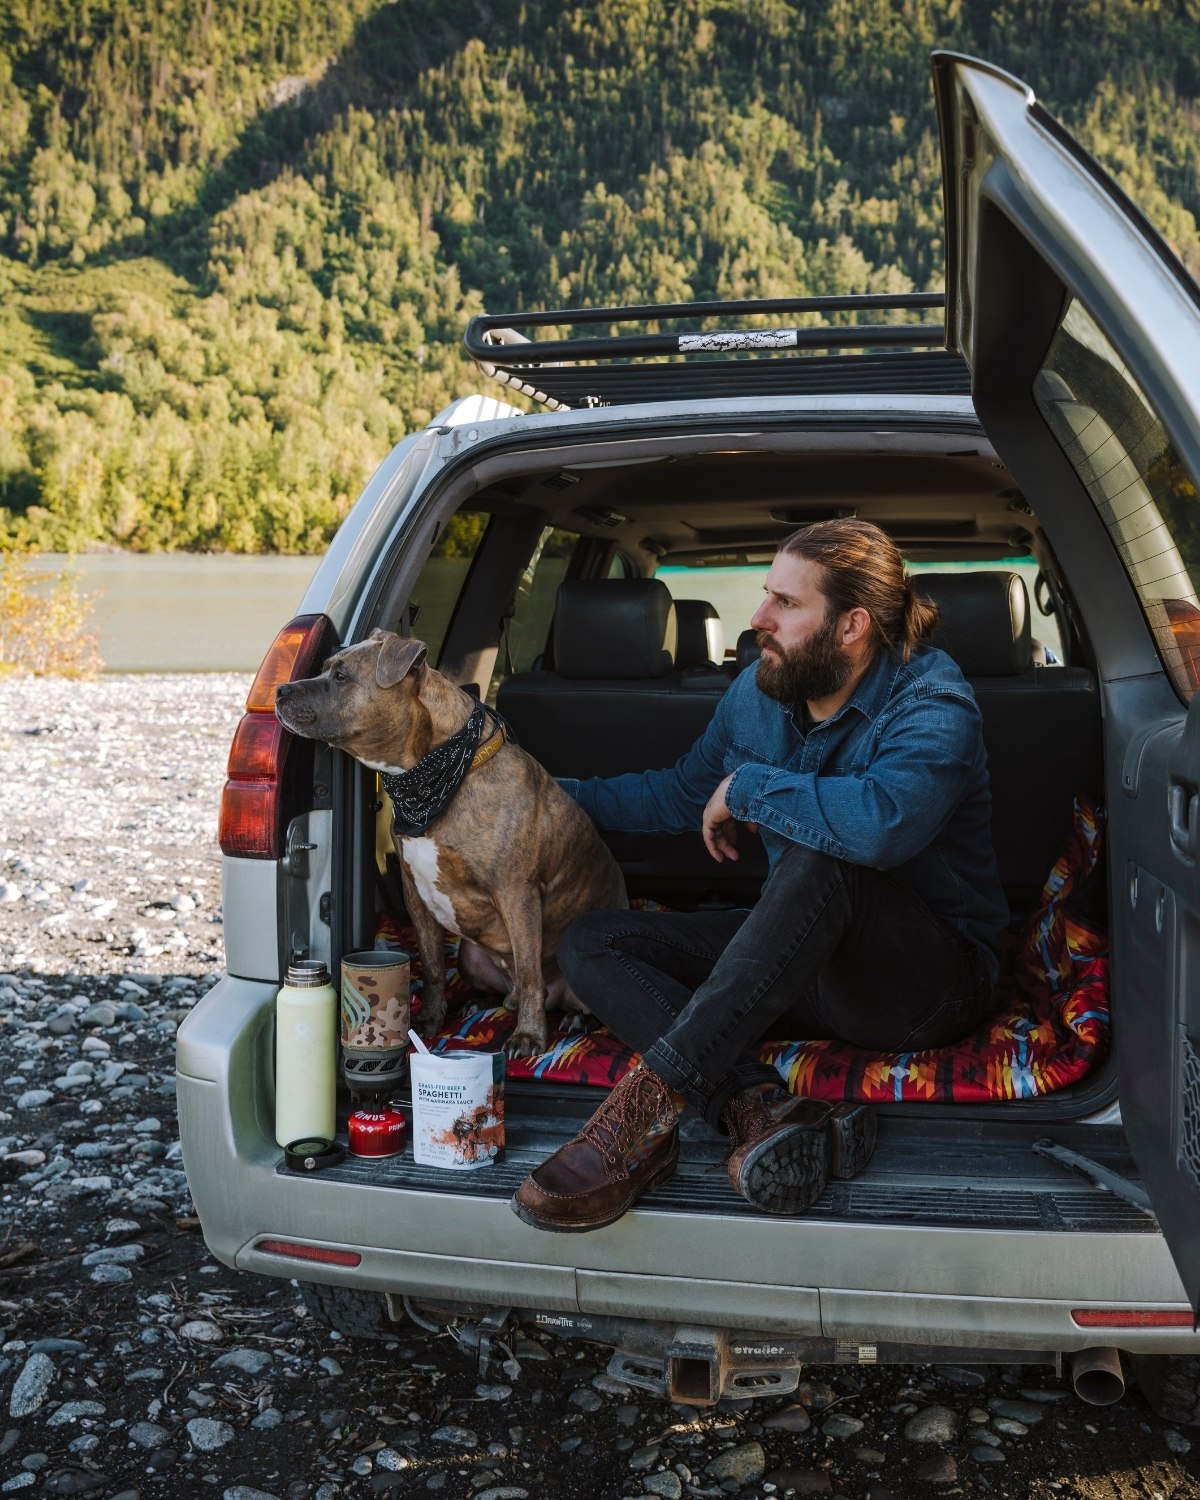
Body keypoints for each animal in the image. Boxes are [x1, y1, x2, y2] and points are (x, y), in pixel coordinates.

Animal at [273, 627, 627, 1062]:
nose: (280, 690)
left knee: (553, 994)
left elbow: (530, 973)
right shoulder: (415, 893)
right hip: (472, 957)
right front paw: (428, 1021)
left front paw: (528, 1036)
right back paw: (479, 1003)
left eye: (341, 677)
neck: (433, 777)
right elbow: (431, 966)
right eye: (324, 668)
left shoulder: (518, 895)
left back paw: (574, 1020)